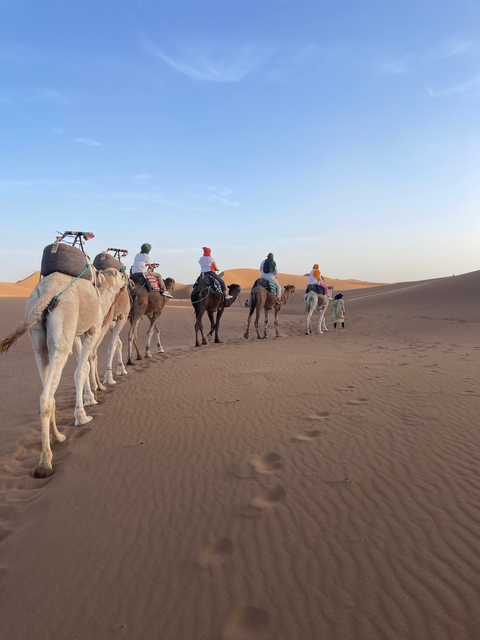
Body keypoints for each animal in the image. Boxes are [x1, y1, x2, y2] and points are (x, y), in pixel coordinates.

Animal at [0, 268, 127, 478]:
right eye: (122, 274)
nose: (128, 281)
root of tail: (47, 292)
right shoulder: (92, 329)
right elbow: (80, 370)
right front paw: (83, 414)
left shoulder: (75, 334)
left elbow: (84, 365)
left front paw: (89, 399)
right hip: (63, 331)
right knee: (45, 396)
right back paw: (45, 462)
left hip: (38, 340)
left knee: (47, 390)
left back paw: (57, 437)